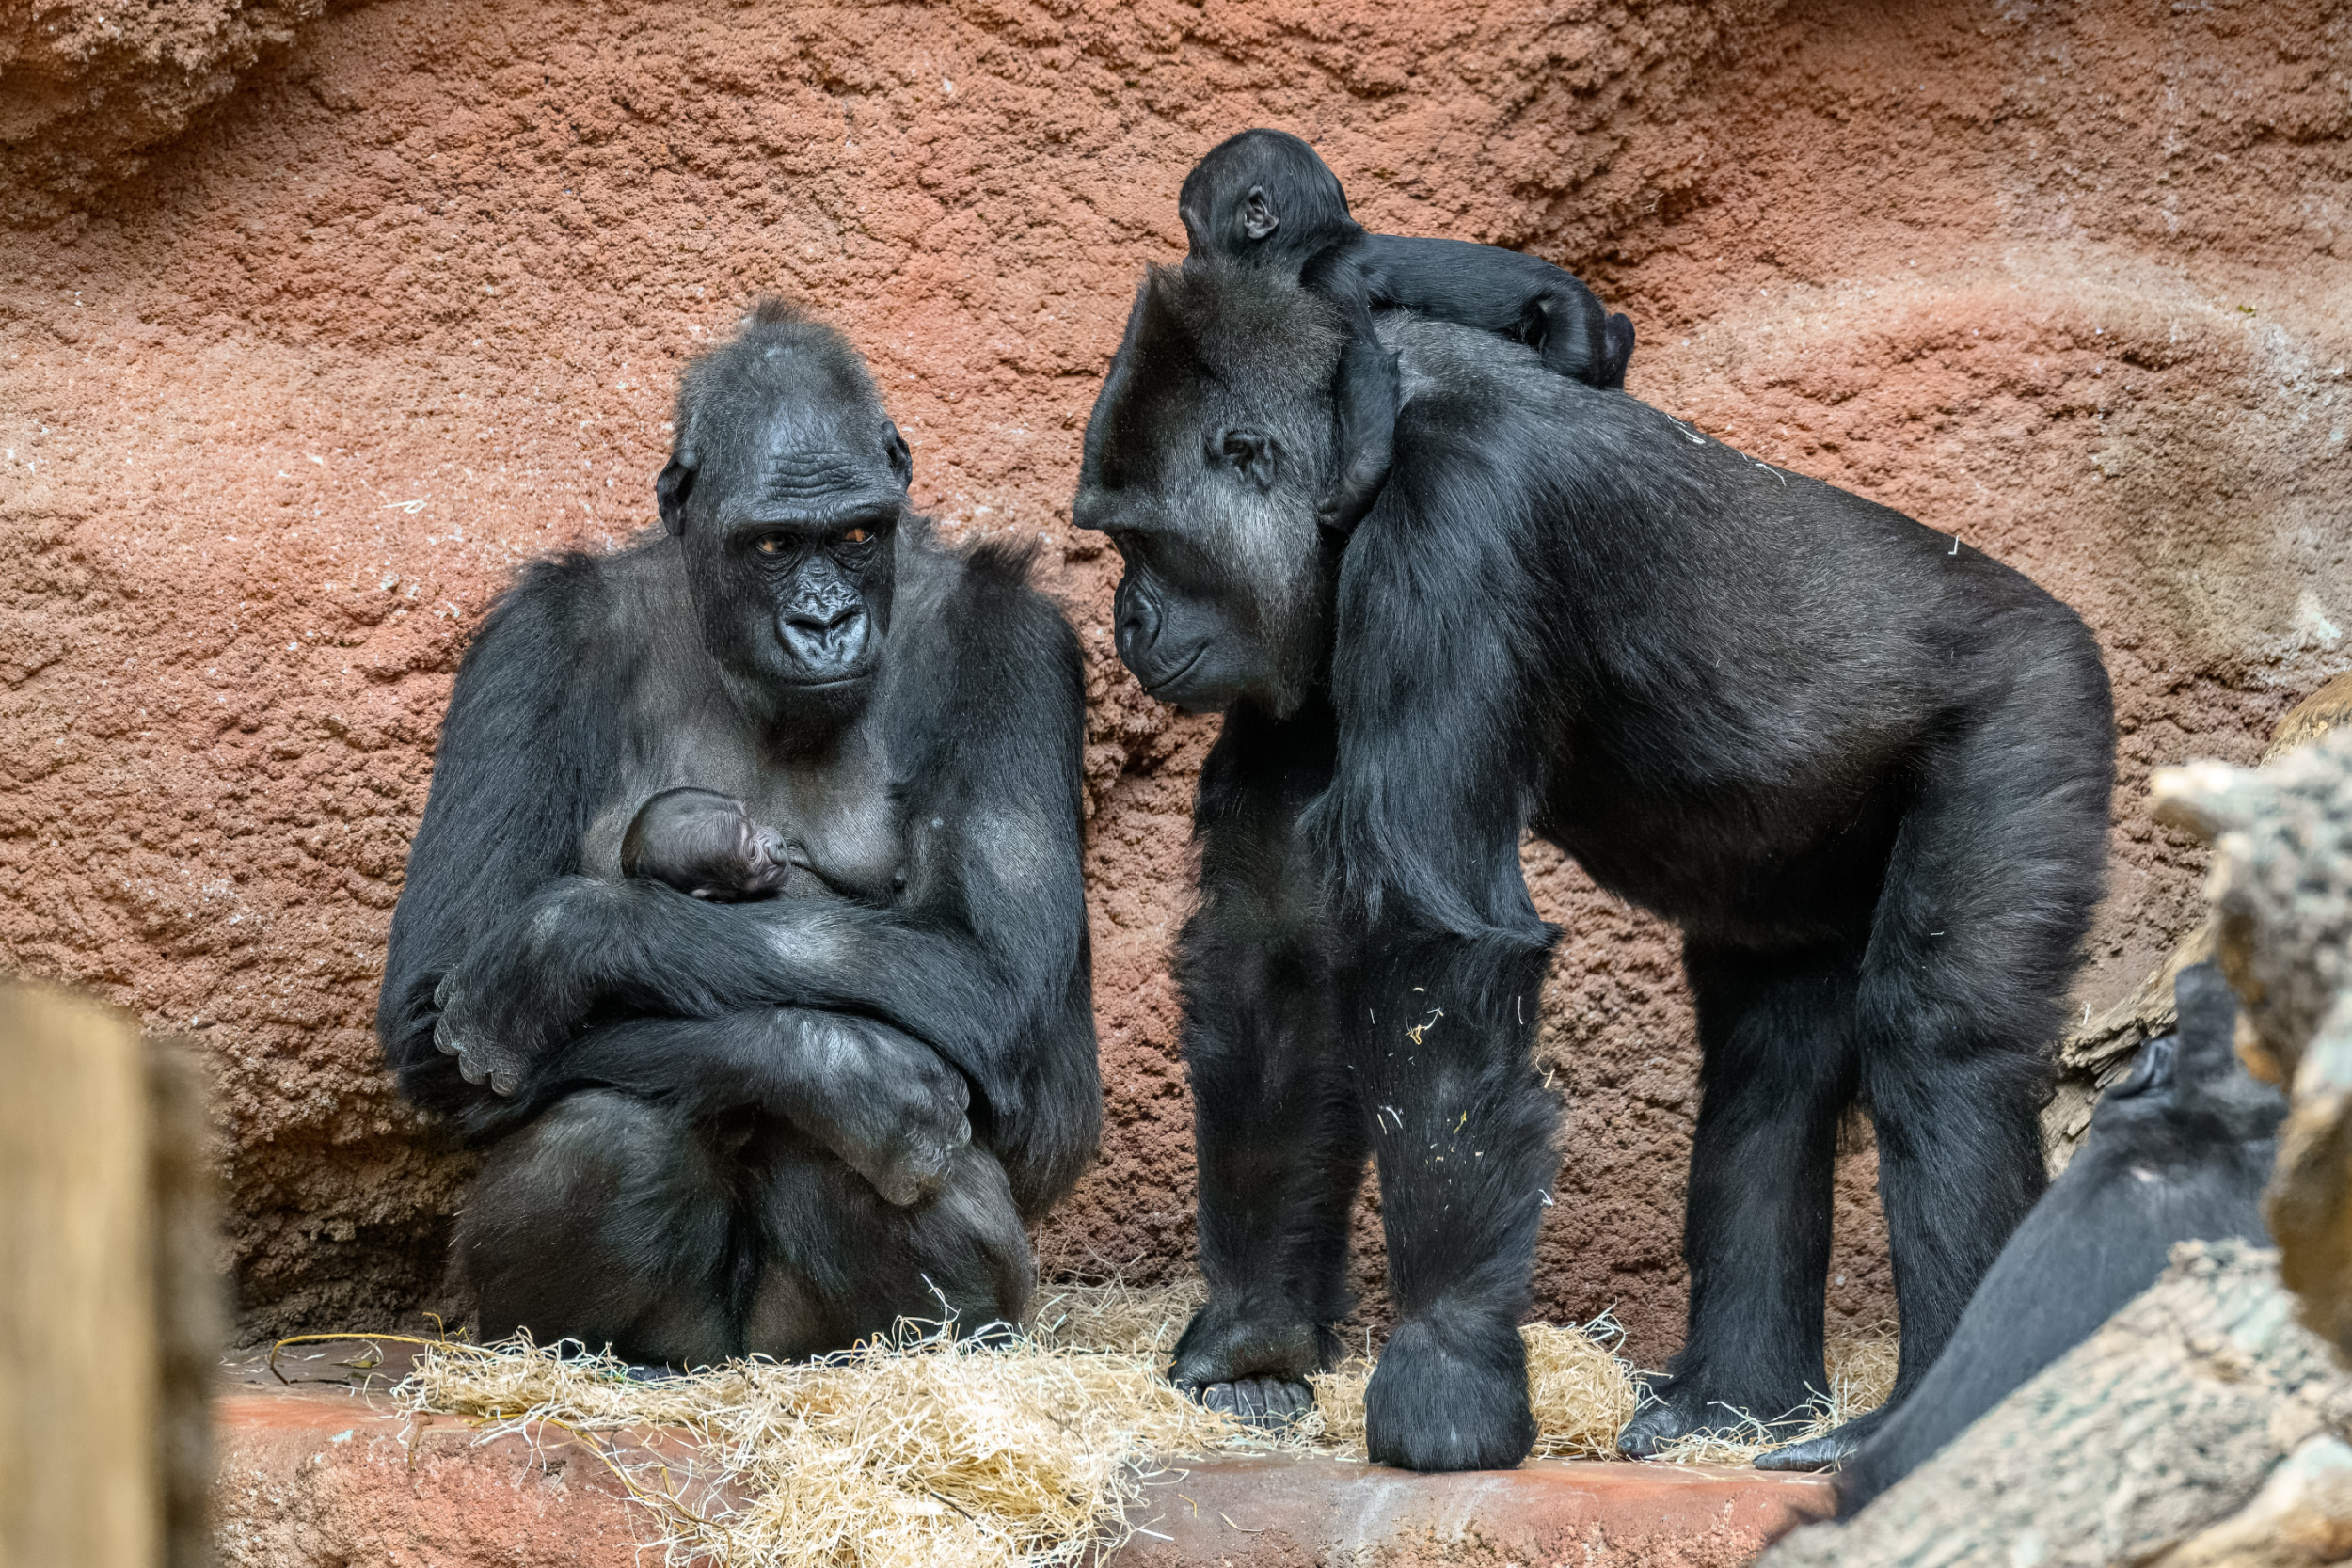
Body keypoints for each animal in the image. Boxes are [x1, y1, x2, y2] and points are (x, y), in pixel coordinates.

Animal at [373, 300, 1091, 1363]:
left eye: (858, 534)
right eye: (772, 547)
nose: (825, 620)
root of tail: (744, 1357)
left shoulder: (1018, 643)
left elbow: (1014, 1019)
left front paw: (565, 941)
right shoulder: (528, 640)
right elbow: (428, 1011)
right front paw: (834, 1065)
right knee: (612, 1127)